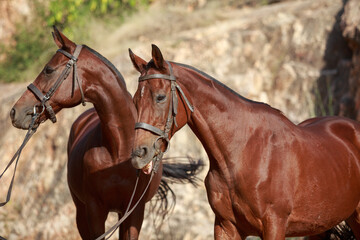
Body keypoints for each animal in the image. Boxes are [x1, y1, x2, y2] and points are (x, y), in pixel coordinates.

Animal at [9, 29, 202, 239]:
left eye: (48, 70)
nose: (15, 112)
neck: (119, 149)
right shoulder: (94, 211)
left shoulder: (133, 212)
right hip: (81, 211)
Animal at [129, 44, 360, 239]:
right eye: (135, 100)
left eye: (160, 97)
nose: (139, 153)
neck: (241, 154)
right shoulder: (225, 226)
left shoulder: (274, 225)